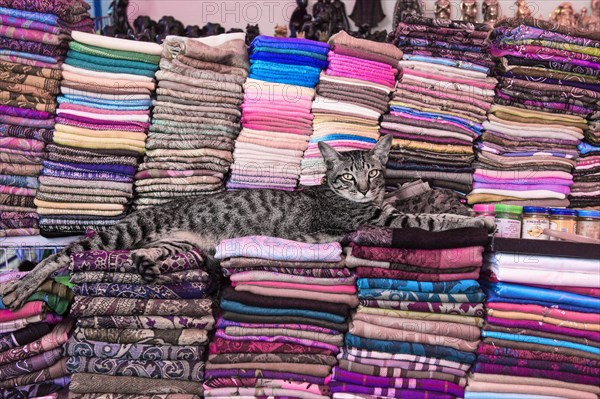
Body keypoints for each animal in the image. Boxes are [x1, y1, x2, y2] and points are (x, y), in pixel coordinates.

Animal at [0, 136, 492, 310]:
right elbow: (431, 220)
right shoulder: (378, 219)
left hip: (181, 246)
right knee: (63, 255)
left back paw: (150, 265)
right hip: (120, 232)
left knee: (147, 254)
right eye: (347, 176)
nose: (364, 188)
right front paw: (480, 223)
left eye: (372, 172)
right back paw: (19, 288)